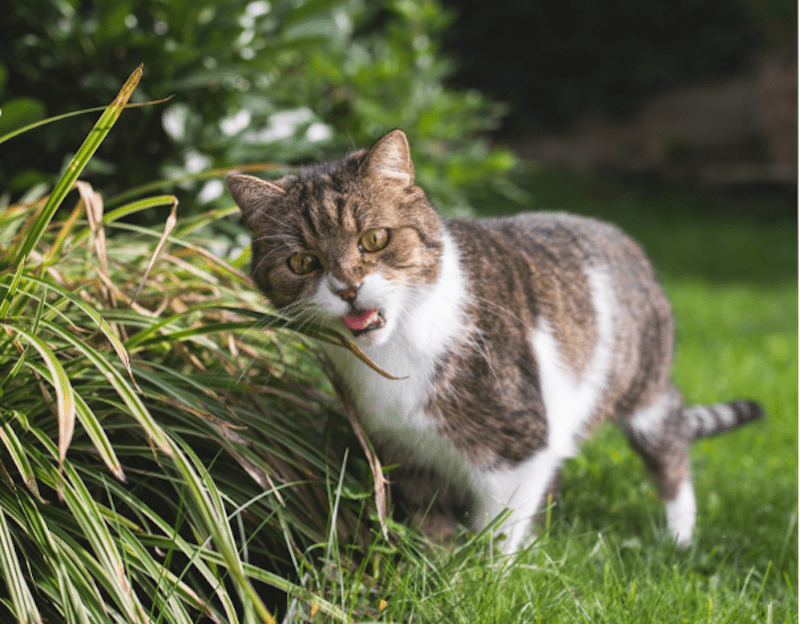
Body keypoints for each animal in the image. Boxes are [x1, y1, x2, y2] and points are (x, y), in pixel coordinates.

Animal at [225, 129, 764, 552]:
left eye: (375, 240)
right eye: (303, 263)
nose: (347, 288)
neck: (396, 357)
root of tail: (621, 235)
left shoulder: (520, 444)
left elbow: (498, 527)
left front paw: (485, 575)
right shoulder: (405, 451)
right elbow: (430, 519)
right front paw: (438, 562)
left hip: (643, 387)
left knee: (669, 441)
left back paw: (679, 537)